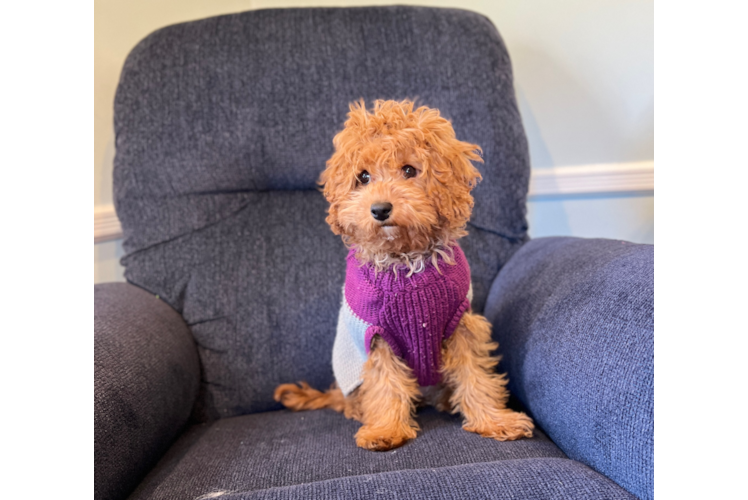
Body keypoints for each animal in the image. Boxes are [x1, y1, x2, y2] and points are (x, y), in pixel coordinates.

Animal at [274, 99, 532, 452]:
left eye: (409, 170)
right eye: (363, 177)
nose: (380, 209)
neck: (406, 259)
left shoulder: (460, 323)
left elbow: (475, 374)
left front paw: (494, 420)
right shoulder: (377, 334)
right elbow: (386, 383)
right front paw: (385, 430)